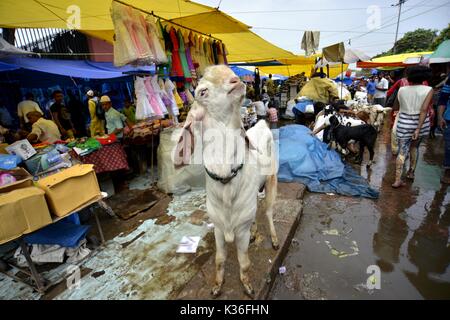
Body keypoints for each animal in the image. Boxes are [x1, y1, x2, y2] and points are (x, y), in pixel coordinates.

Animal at [175, 64, 278, 298]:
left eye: (230, 73)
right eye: (202, 91)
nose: (236, 81)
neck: (226, 184)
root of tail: (262, 125)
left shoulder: (240, 231)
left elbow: (244, 261)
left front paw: (247, 285)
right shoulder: (219, 228)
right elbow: (219, 259)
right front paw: (216, 285)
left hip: (272, 181)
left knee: (268, 211)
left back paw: (274, 239)